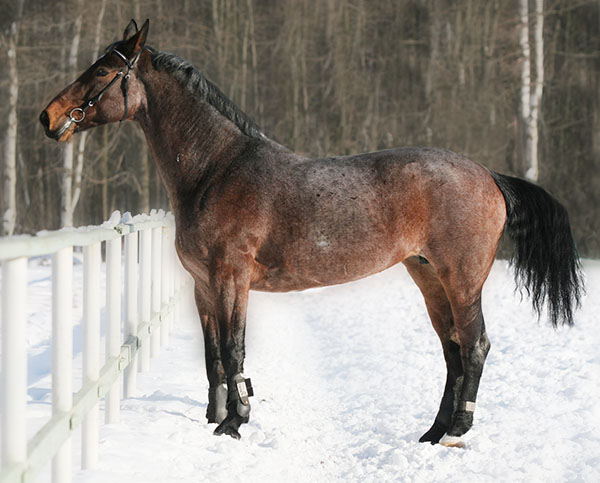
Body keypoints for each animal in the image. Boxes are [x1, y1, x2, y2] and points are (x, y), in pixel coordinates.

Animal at [39, 20, 584, 448]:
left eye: (103, 71)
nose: (48, 117)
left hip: (462, 278)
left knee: (474, 345)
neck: (217, 169)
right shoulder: (203, 285)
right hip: (428, 276)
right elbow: (214, 356)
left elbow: (234, 350)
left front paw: (235, 424)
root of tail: (489, 175)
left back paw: (456, 430)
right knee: (451, 350)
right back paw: (432, 431)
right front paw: (217, 417)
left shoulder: (231, 278)